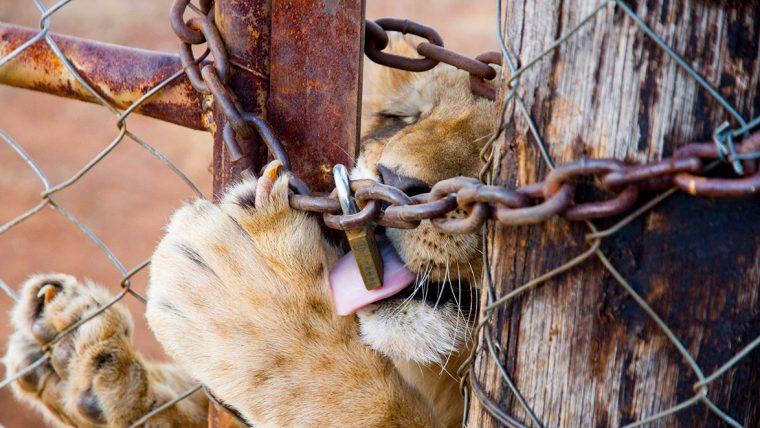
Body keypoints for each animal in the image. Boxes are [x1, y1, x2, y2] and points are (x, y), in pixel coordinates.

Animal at [2, 37, 498, 428]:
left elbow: (374, 405)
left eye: (495, 151)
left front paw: (253, 306)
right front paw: (75, 356)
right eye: (401, 118)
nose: (392, 182)